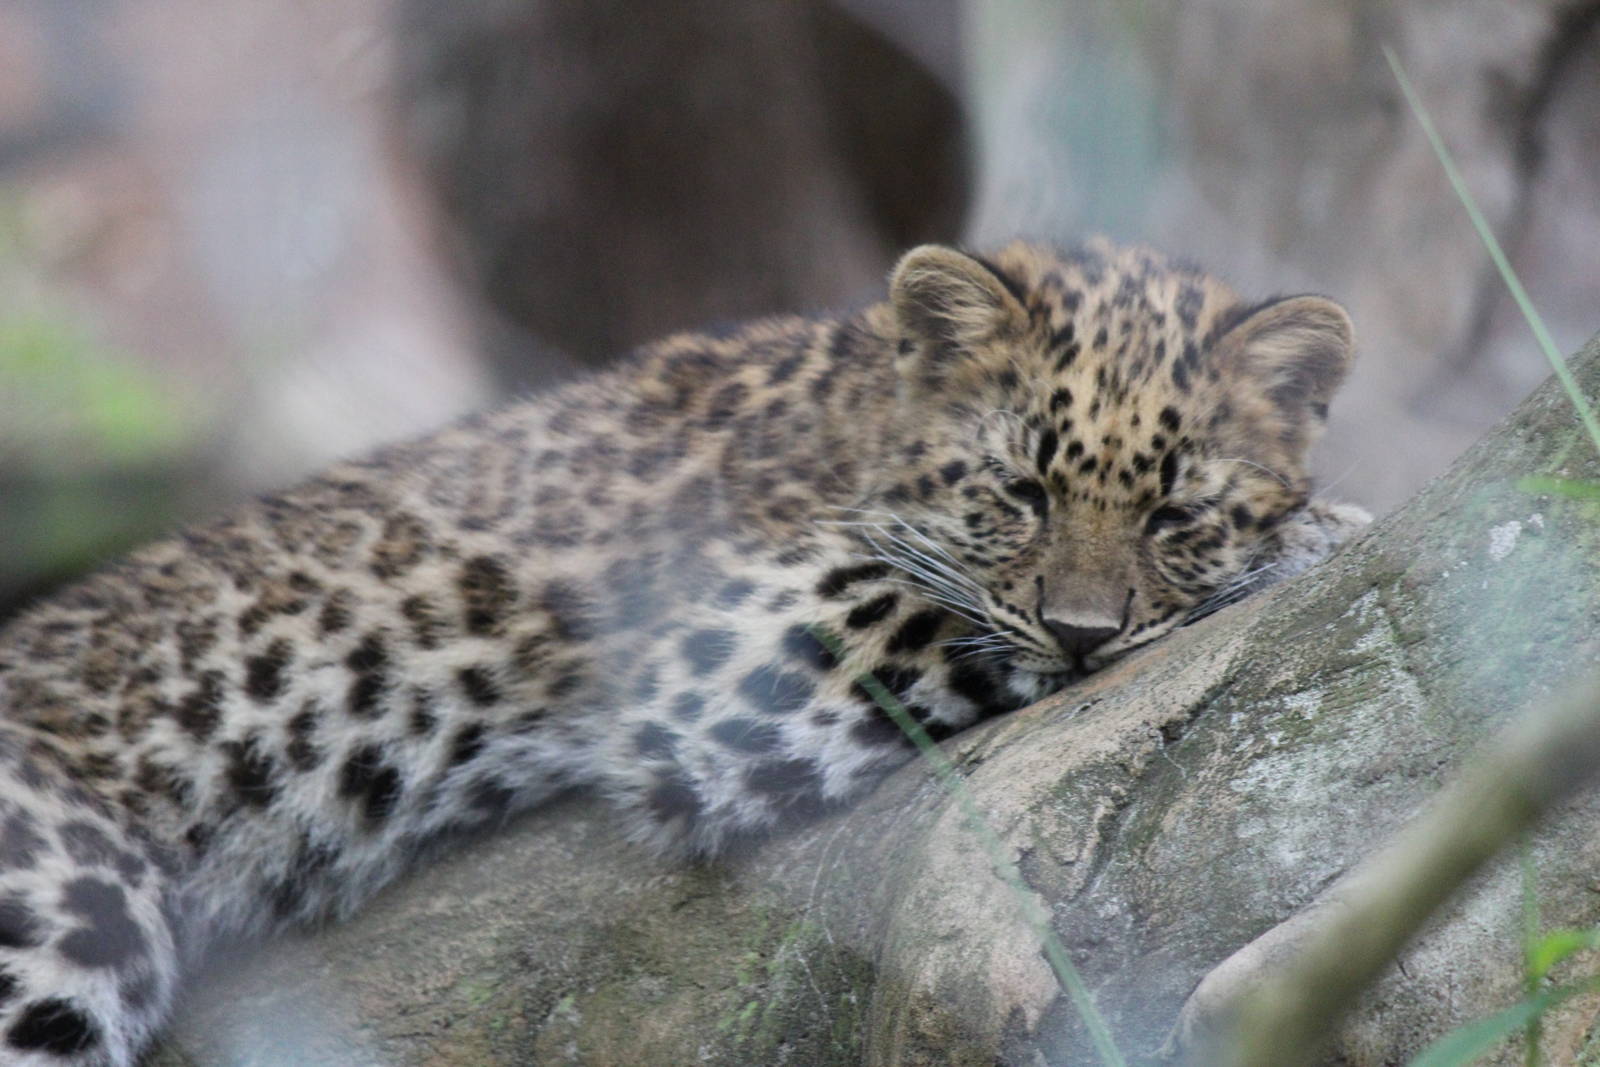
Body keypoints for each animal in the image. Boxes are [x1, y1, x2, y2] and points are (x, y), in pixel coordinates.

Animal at [0, 237, 1368, 1065]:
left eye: (1174, 514)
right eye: (1020, 492)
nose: (1088, 632)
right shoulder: (727, 654)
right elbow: (952, 602)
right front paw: (1315, 536)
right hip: (61, 897)